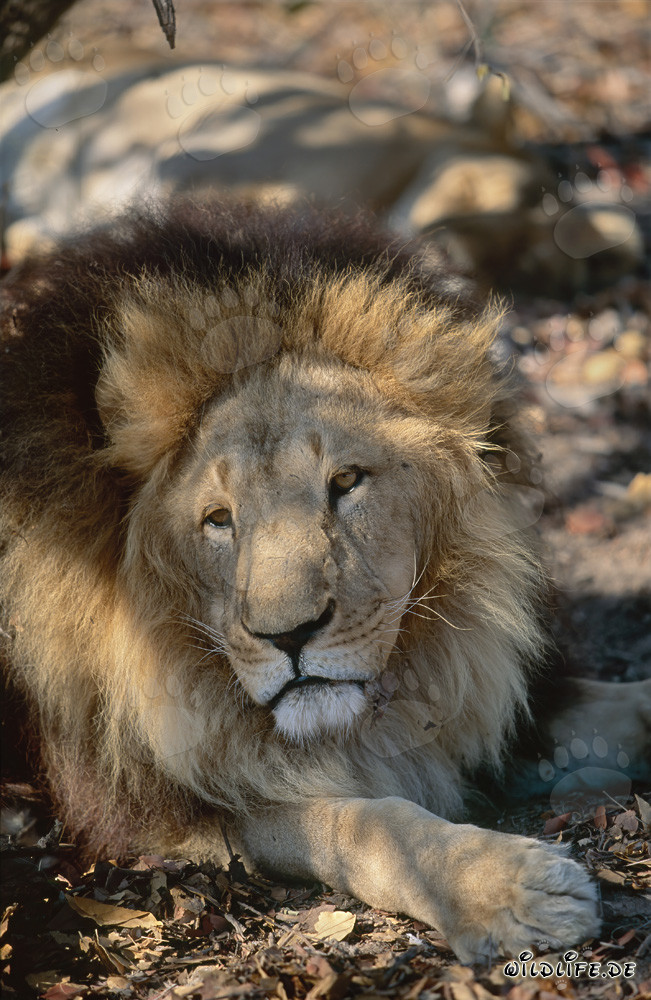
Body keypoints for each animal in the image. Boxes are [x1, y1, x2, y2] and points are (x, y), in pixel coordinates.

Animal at [1, 201, 648, 964]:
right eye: (218, 520)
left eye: (346, 482)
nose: (290, 635)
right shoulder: (179, 816)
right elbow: (370, 822)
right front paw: (512, 889)